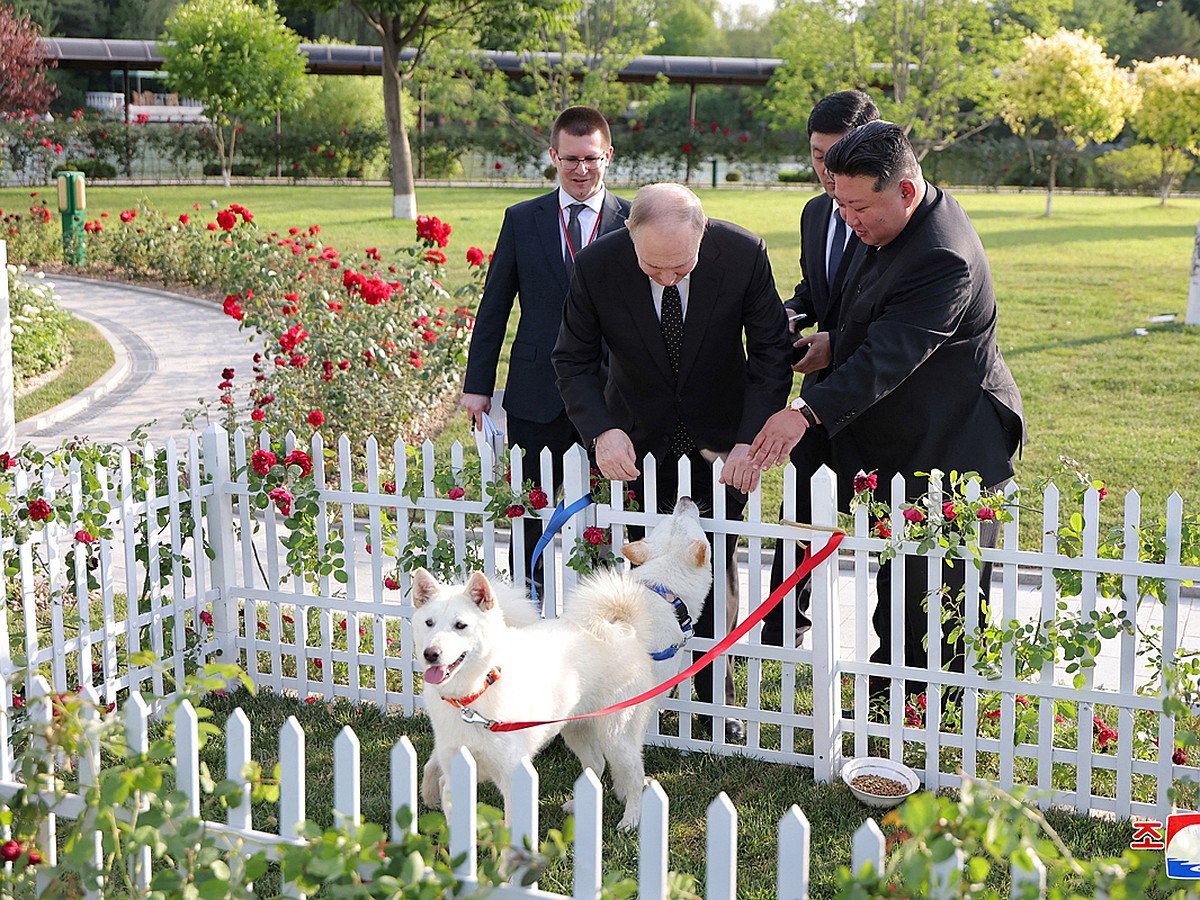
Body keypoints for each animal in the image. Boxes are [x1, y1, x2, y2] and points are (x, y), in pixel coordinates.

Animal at [415, 496, 710, 835]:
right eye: (679, 518)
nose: (685, 499)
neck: (661, 591)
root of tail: (620, 624)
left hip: (588, 727)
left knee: (602, 766)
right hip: (603, 729)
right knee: (612, 766)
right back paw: (625, 818)